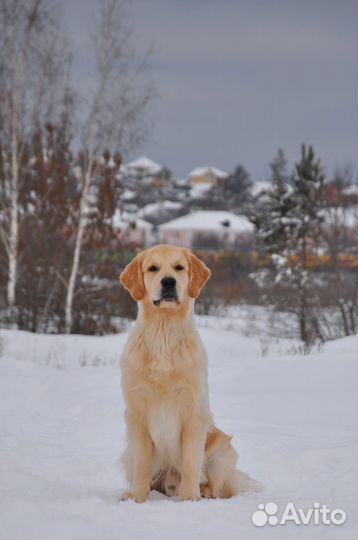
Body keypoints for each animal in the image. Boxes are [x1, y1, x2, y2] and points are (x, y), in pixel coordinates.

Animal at [119, 245, 241, 502]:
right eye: (153, 268)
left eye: (179, 267)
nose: (168, 281)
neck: (164, 331)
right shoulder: (136, 413)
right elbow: (143, 464)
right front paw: (137, 497)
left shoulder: (194, 413)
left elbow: (191, 462)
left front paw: (190, 499)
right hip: (128, 454)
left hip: (222, 449)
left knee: (217, 484)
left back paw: (203, 492)